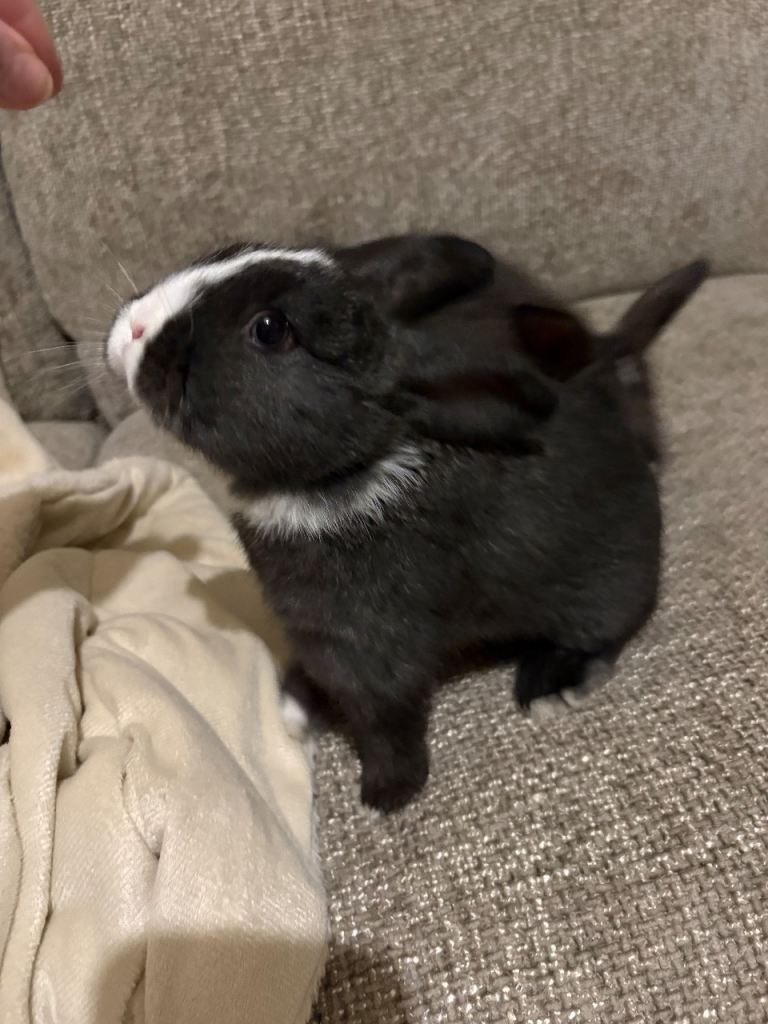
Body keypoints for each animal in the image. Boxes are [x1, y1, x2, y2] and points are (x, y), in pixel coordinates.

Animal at [105, 238, 706, 813]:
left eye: (270, 329)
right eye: (228, 251)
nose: (132, 328)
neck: (342, 472)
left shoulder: (371, 649)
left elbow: (386, 721)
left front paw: (387, 793)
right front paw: (295, 704)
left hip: (601, 586)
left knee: (608, 628)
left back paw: (550, 683)